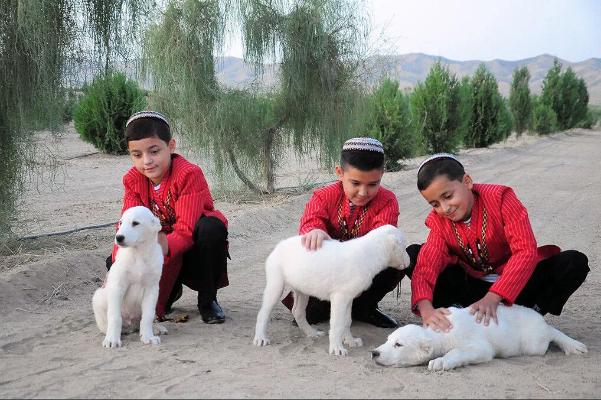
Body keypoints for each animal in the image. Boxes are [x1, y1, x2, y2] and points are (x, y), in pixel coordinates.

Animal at [90, 206, 164, 346]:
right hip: (99, 298)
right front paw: (112, 339)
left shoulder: (152, 289)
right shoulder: (117, 286)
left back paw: (156, 328)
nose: (118, 237)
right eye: (121, 223)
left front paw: (148, 336)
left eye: (135, 223)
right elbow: (114, 317)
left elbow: (148, 316)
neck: (138, 253)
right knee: (108, 325)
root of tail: (131, 326)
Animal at [251, 225, 410, 356]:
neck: (370, 253)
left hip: (302, 289)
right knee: (263, 313)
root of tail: (280, 245)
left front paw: (350, 341)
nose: (409, 263)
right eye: (403, 247)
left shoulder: (349, 298)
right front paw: (336, 348)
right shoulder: (340, 298)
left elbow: (347, 321)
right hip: (276, 285)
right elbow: (337, 324)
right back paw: (260, 337)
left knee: (297, 311)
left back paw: (311, 332)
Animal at [370, 304, 584, 372]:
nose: (374, 353)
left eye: (399, 344)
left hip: (533, 343)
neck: (441, 332)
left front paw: (440, 362)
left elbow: (466, 350)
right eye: (388, 340)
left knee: (548, 334)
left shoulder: (477, 344)